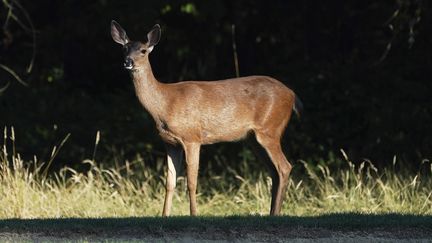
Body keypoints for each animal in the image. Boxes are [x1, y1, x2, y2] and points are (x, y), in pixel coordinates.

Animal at [109, 19, 302, 215]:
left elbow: (191, 183)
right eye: (124, 48)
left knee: (284, 167)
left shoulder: (192, 137)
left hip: (270, 129)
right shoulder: (170, 143)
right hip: (254, 138)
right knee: (274, 172)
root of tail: (292, 95)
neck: (164, 105)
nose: (128, 62)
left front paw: (194, 214)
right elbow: (170, 183)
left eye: (143, 50)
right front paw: (164, 216)